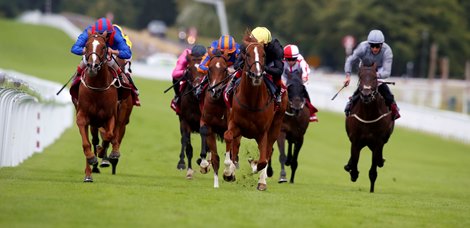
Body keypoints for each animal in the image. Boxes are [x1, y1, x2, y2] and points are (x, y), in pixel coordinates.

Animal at [76, 31, 118, 183]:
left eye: (104, 47)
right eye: (86, 45)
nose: (92, 66)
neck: (97, 88)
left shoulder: (110, 116)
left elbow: (109, 135)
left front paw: (101, 153)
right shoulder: (83, 115)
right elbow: (86, 143)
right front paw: (91, 158)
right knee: (91, 140)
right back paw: (89, 173)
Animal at [222, 33, 288, 191]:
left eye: (264, 54)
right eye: (247, 54)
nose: (257, 74)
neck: (251, 101)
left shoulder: (262, 132)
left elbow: (263, 160)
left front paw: (255, 168)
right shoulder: (235, 124)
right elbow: (228, 137)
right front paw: (228, 172)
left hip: (276, 124)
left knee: (268, 151)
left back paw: (261, 181)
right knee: (235, 145)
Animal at [344, 61, 394, 192]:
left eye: (375, 77)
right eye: (360, 77)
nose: (366, 95)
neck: (368, 116)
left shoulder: (378, 142)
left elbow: (373, 171)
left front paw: (371, 190)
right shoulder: (356, 141)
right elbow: (355, 161)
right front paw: (353, 172)